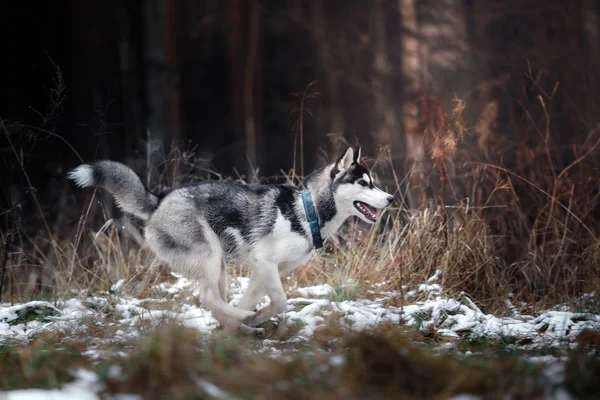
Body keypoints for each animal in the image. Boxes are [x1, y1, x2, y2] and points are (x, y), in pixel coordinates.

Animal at [69, 146, 394, 334]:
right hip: (210, 257)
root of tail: (160, 199)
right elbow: (281, 302)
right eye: (364, 183)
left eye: (373, 183)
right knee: (208, 299)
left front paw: (251, 320)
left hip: (219, 267)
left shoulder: (266, 270)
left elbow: (254, 298)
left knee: (215, 302)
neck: (307, 210)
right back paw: (242, 320)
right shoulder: (266, 263)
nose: (390, 198)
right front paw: (254, 317)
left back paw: (242, 326)